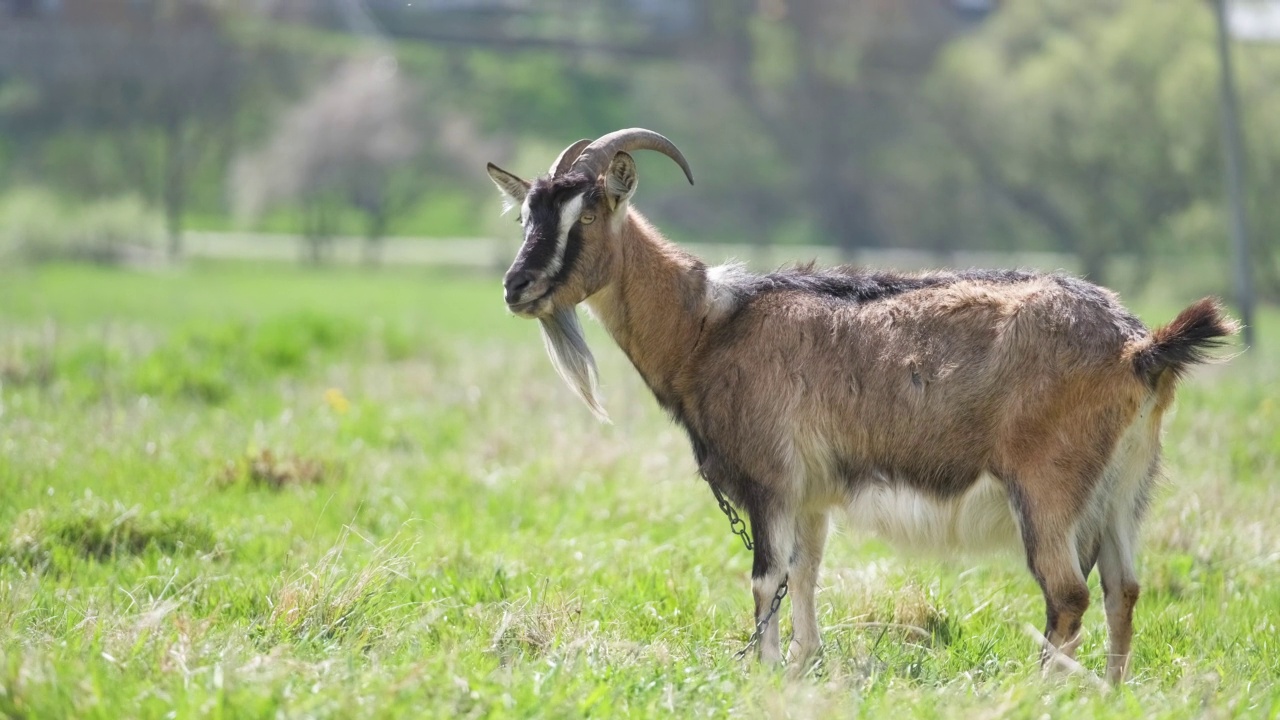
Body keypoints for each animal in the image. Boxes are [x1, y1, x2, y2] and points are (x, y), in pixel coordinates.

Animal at [483, 126, 1233, 681]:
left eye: (587, 213)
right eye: (527, 216)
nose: (516, 289)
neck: (711, 323)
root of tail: (1139, 346)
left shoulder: (770, 480)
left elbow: (765, 578)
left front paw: (763, 673)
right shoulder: (813, 493)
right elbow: (807, 575)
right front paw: (802, 668)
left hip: (1048, 487)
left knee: (1068, 593)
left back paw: (1043, 690)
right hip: (1126, 489)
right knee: (1122, 588)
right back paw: (1109, 689)